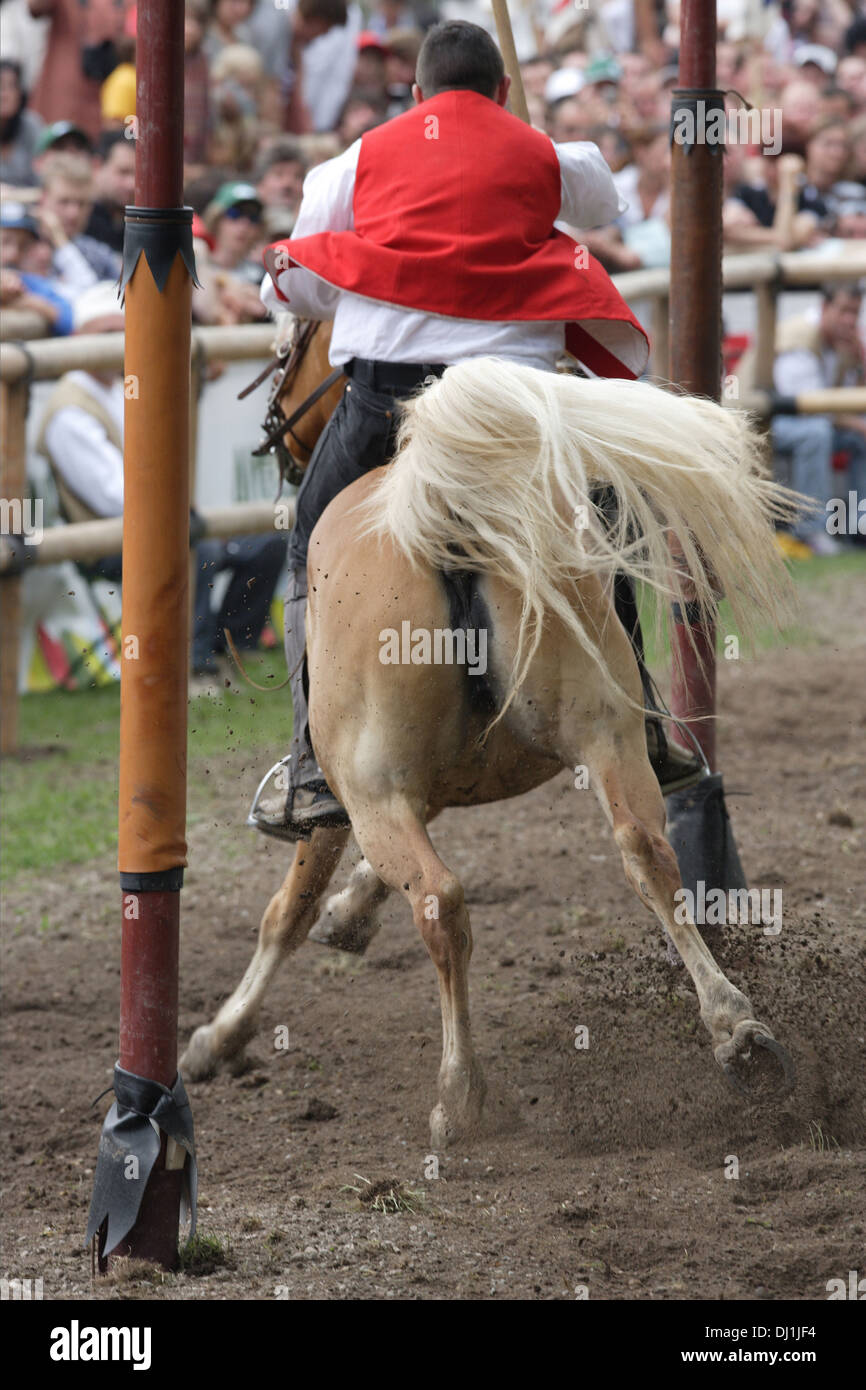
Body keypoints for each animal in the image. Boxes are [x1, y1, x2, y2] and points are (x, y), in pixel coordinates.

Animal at [183, 330, 800, 1145]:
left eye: (289, 348)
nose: (277, 433)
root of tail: (452, 513)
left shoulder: (353, 797)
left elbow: (288, 910)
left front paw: (216, 1039)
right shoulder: (432, 784)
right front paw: (351, 915)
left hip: (372, 789)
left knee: (440, 902)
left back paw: (460, 1094)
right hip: (606, 742)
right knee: (646, 852)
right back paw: (736, 1030)